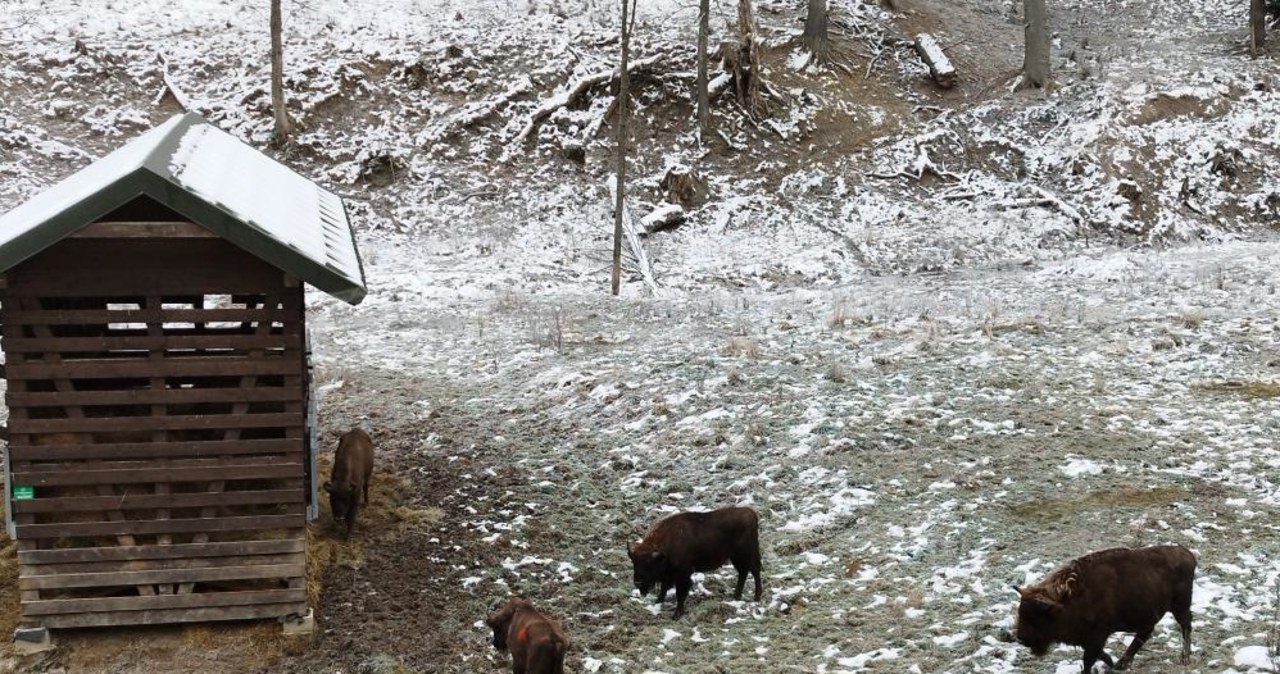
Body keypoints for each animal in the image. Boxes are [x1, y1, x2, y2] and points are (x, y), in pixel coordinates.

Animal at [627, 506, 757, 621]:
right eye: (634, 562)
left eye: (649, 564)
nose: (638, 582)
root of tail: (751, 513)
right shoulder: (669, 575)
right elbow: (664, 588)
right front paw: (658, 602)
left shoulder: (683, 575)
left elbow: (680, 593)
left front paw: (676, 615)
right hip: (736, 557)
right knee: (744, 573)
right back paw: (737, 596)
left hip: (746, 554)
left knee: (755, 571)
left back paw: (756, 597)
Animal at [1013, 544, 1192, 670]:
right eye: (1021, 611)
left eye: (1037, 615)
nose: (1021, 638)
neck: (1066, 600)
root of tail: (1188, 555)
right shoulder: (1086, 638)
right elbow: (1098, 655)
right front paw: (1111, 662)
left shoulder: (1097, 635)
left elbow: (1089, 660)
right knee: (1145, 633)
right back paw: (1122, 664)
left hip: (1180, 607)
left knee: (1185, 626)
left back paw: (1185, 658)